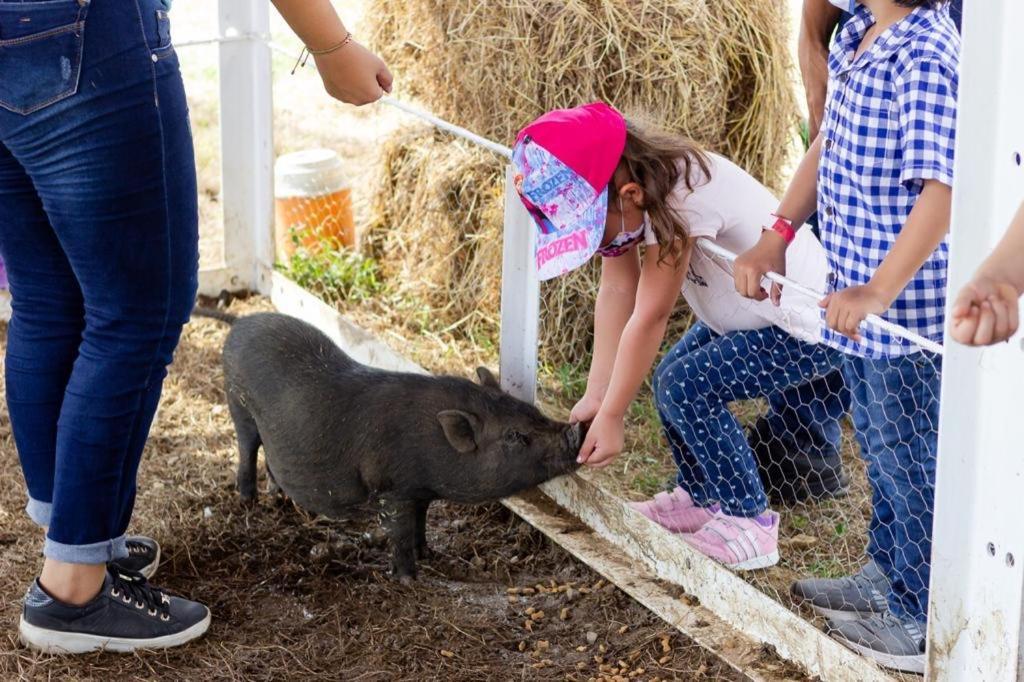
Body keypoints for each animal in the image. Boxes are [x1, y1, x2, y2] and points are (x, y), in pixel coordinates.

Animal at [219, 311, 581, 577]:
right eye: (513, 436)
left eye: (532, 411)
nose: (576, 430)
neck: (431, 442)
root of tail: (240, 322)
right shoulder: (393, 489)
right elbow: (401, 532)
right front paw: (409, 577)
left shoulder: (420, 491)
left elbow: (421, 522)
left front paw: (429, 553)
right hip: (238, 404)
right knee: (247, 448)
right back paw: (248, 499)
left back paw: (278, 497)